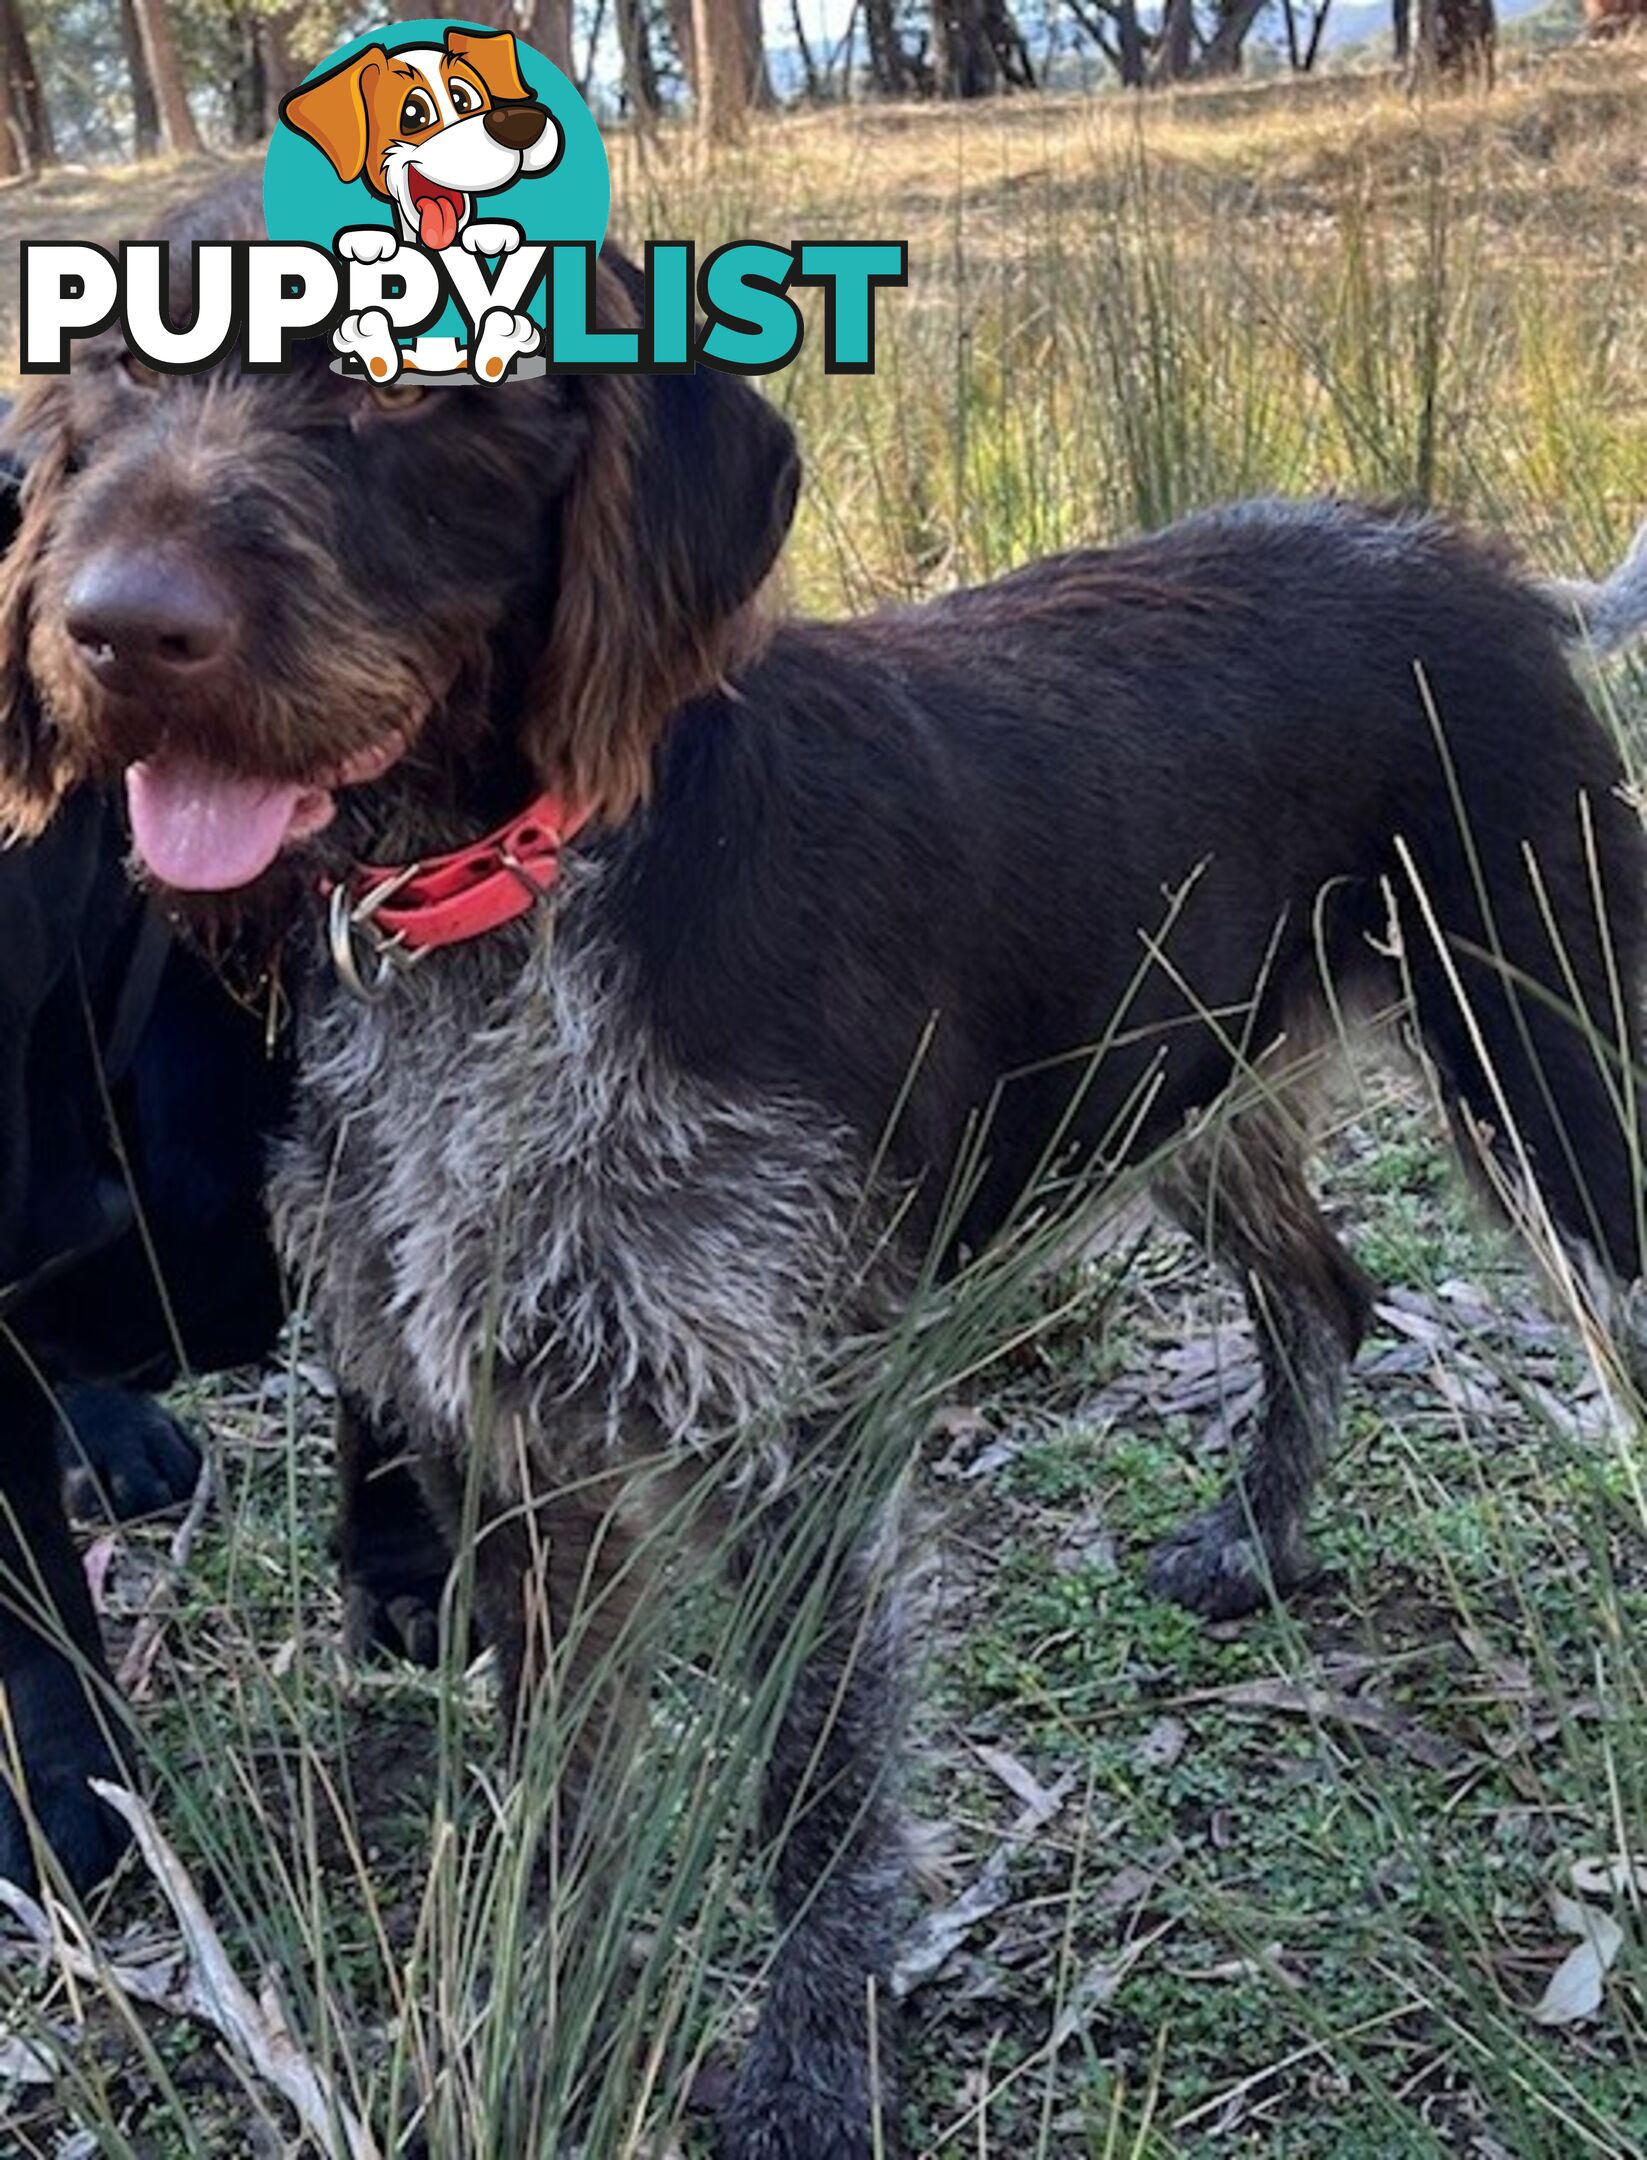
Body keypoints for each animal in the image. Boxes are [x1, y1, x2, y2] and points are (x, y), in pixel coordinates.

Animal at [3, 190, 1642, 2160]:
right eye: (107, 369)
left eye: (398, 380)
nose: (110, 630)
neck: (505, 919)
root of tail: (1473, 565)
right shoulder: (518, 1460)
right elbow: (559, 1798)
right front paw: (539, 2018)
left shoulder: (793, 1444)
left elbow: (815, 1800)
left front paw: (806, 2062)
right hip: (1175, 1090)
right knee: (1324, 1291)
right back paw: (1254, 1539)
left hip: (1547, 1086)